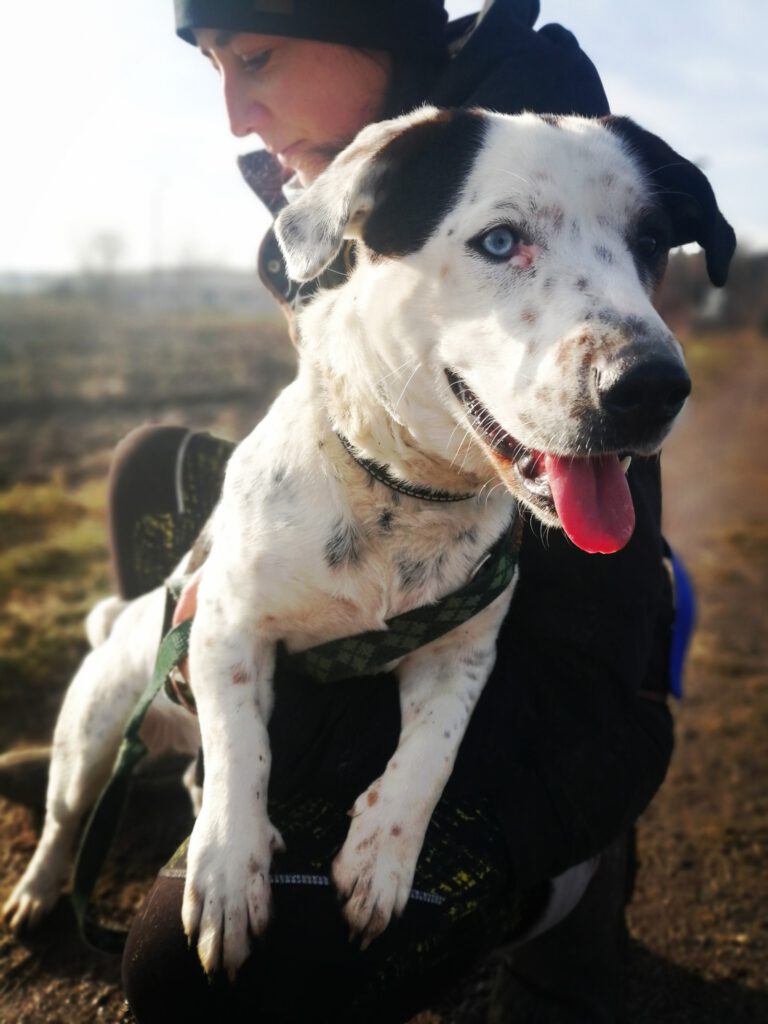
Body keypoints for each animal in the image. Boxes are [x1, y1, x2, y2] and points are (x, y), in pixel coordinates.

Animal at [1, 105, 733, 974]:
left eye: (651, 242)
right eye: (499, 241)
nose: (653, 387)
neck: (398, 492)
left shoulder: (461, 653)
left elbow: (431, 754)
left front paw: (383, 855)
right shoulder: (223, 628)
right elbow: (242, 745)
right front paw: (228, 865)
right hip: (91, 734)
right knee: (65, 819)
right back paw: (39, 888)